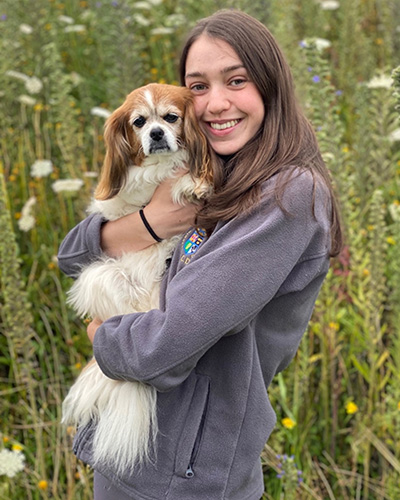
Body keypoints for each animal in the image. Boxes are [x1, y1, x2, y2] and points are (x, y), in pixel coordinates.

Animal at [61, 84, 212, 474]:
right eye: (139, 123)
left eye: (171, 118)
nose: (156, 134)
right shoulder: (124, 204)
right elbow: (132, 198)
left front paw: (194, 182)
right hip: (100, 275)